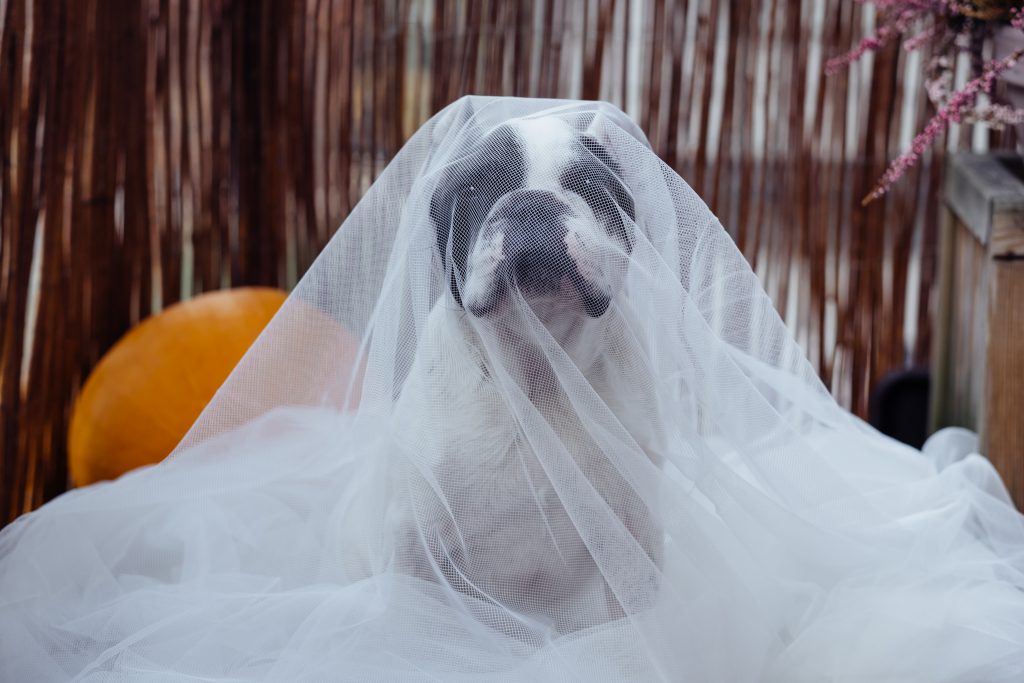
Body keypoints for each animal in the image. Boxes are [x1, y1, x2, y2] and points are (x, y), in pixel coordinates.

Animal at [387, 109, 667, 638]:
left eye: (591, 185)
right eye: (473, 189)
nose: (531, 203)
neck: (540, 378)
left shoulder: (633, 535)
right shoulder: (415, 547)